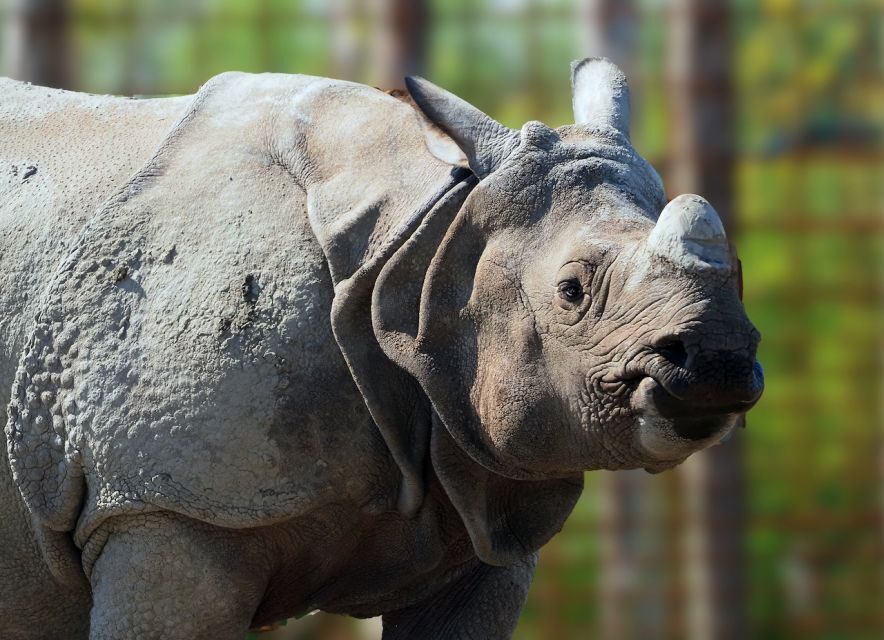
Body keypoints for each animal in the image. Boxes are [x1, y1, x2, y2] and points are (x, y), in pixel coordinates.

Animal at [0, 58, 763, 639]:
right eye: (572, 291)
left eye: (738, 272)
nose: (716, 361)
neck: (423, 241)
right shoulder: (163, 504)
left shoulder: (483, 522)